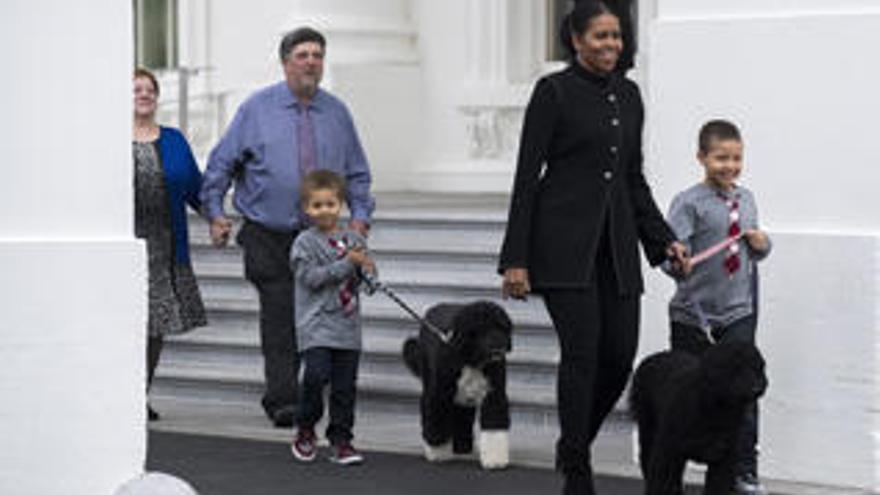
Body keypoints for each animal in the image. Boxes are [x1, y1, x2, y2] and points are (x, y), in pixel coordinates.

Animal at [402, 300, 512, 470]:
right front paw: (438, 451)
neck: (471, 360)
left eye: (501, 327)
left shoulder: (493, 394)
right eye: (483, 329)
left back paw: (462, 447)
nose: (500, 346)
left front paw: (495, 460)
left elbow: (494, 424)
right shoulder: (439, 392)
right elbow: (436, 419)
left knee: (462, 415)